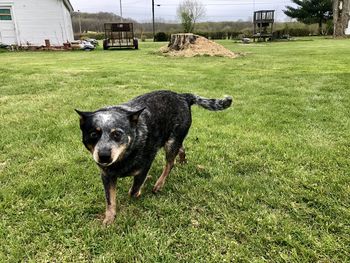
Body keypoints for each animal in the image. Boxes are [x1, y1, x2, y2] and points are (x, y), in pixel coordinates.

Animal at [75, 90, 231, 225]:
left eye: (117, 134)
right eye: (93, 134)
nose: (104, 156)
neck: (124, 158)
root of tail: (182, 96)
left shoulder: (146, 164)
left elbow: (134, 190)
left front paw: (138, 192)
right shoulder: (106, 175)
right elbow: (110, 199)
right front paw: (109, 218)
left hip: (171, 142)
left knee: (170, 163)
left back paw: (159, 184)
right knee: (182, 148)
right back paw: (182, 161)